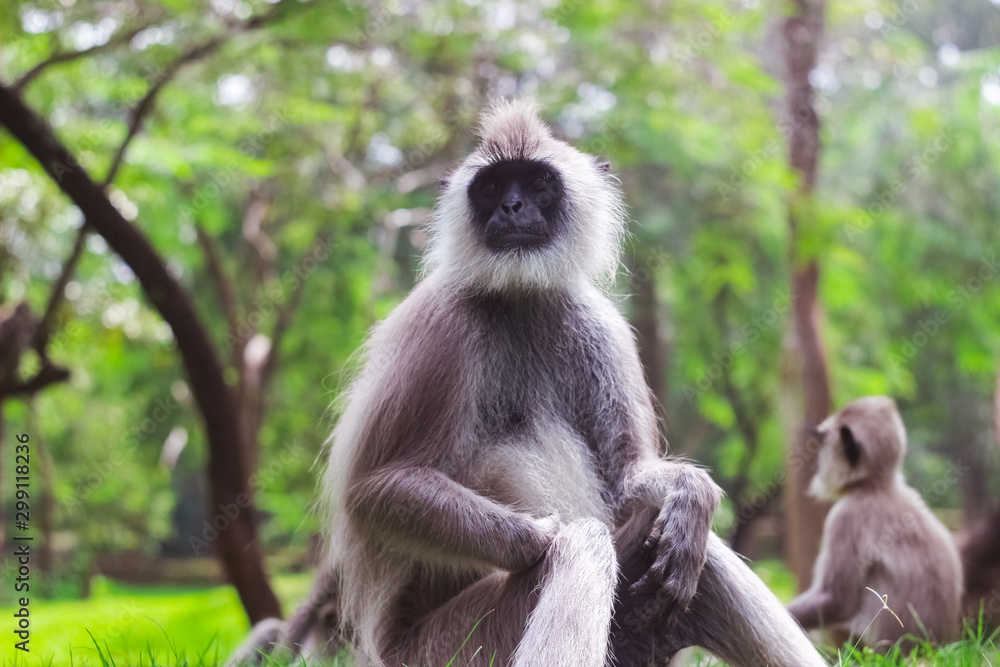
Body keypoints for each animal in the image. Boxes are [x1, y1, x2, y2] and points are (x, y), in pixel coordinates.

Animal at [230, 100, 827, 667]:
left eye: (538, 182)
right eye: (493, 187)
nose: (512, 208)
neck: (519, 296)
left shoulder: (598, 326)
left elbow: (630, 477)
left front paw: (691, 492)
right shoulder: (441, 323)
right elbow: (376, 489)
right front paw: (548, 536)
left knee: (696, 557)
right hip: (445, 647)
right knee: (581, 542)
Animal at [787, 395, 963, 651]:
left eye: (822, 443)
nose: (816, 465)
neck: (876, 486)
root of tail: (929, 647)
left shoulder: (845, 515)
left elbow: (837, 600)